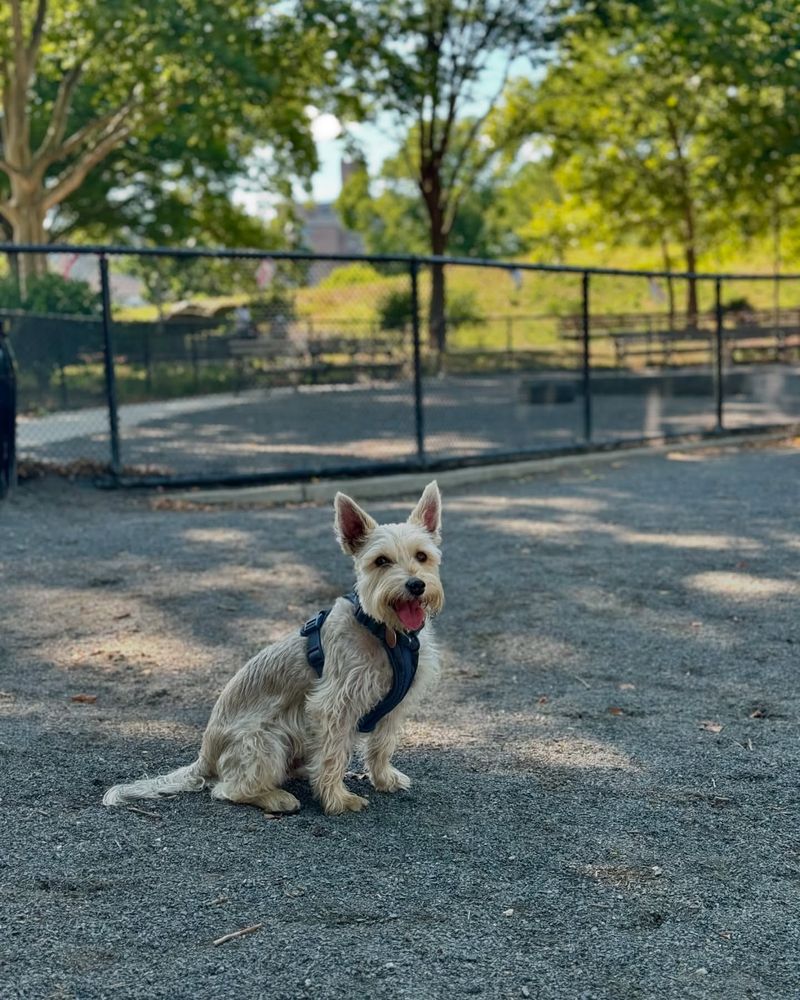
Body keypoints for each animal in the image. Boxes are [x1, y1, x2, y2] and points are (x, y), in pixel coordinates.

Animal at [101, 480, 444, 816]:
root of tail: (205, 756)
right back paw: (276, 798)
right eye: (381, 561)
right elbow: (333, 754)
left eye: (422, 556)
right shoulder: (333, 706)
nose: (416, 585)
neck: (386, 632)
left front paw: (384, 779)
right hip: (265, 740)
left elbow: (381, 745)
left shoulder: (395, 706)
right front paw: (336, 799)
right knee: (228, 789)